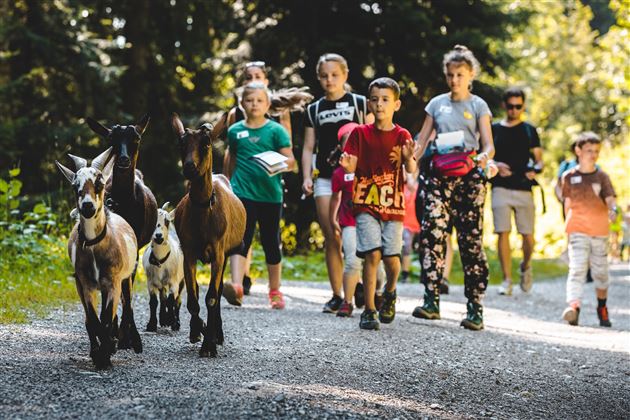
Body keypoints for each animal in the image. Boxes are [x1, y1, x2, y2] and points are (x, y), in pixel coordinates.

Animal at [86, 114, 158, 348]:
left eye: (137, 137)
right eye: (111, 139)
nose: (124, 160)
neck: (125, 202)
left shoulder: (134, 246)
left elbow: (127, 288)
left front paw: (129, 336)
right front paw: (114, 331)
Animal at [146, 202, 188, 334]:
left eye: (167, 221)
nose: (158, 236)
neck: (161, 261)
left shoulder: (173, 282)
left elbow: (171, 301)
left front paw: (172, 321)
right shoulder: (150, 282)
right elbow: (154, 302)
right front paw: (152, 324)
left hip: (182, 280)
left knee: (177, 301)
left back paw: (175, 322)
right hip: (161, 283)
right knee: (163, 297)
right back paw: (163, 319)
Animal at [173, 115, 247, 358]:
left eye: (206, 143)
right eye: (181, 143)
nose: (189, 167)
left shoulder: (218, 251)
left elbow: (212, 297)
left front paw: (209, 344)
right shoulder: (189, 252)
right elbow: (193, 298)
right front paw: (199, 331)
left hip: (226, 253)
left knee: (220, 290)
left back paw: (218, 333)